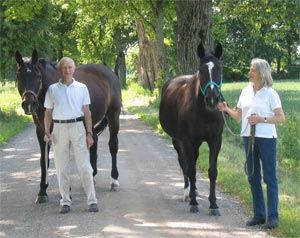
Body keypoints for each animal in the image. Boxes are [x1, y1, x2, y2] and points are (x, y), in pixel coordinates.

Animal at [15, 50, 122, 203]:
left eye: (38, 76)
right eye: (19, 75)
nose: (29, 104)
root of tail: (110, 73)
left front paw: (65, 193)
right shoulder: (41, 131)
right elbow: (43, 160)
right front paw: (42, 191)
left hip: (113, 116)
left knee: (113, 145)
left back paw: (114, 180)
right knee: (93, 141)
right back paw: (92, 176)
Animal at [159, 41, 223, 215]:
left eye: (219, 69)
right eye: (201, 70)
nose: (212, 99)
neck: (205, 113)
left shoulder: (215, 140)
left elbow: (213, 172)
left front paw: (213, 204)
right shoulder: (187, 141)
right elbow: (191, 170)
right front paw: (194, 202)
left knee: (192, 160)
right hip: (178, 140)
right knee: (185, 164)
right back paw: (188, 193)